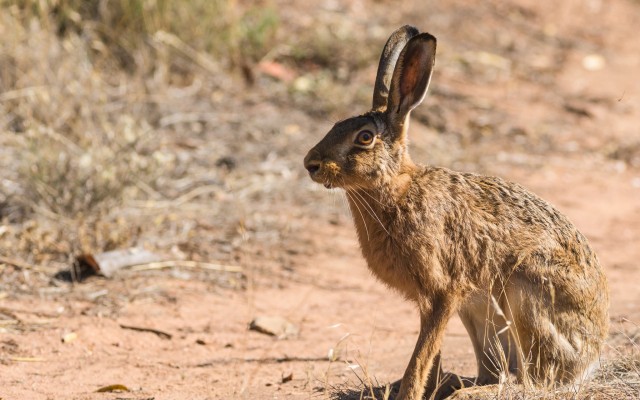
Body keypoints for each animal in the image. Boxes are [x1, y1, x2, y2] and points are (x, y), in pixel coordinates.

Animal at [303, 25, 609, 400]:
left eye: (364, 137)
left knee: (534, 382)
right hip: (481, 312)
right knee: (499, 373)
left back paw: (470, 394)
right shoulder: (431, 301)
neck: (398, 188)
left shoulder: (444, 291)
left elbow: (421, 356)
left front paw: (408, 393)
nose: (311, 164)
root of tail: (591, 356)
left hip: (525, 292)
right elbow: (430, 354)